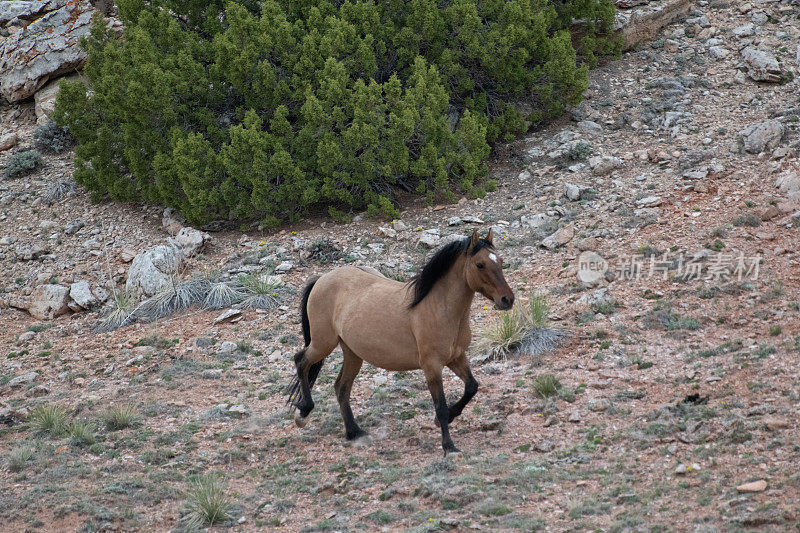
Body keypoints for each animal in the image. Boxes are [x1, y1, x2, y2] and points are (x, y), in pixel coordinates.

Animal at [288, 229, 512, 454]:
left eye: (501, 261)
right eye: (480, 264)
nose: (507, 299)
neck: (439, 308)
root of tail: (322, 278)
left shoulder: (457, 358)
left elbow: (472, 387)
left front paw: (450, 417)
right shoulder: (432, 366)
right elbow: (440, 406)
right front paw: (449, 446)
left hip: (352, 352)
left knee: (341, 388)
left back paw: (354, 432)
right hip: (323, 343)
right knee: (301, 361)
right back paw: (304, 412)